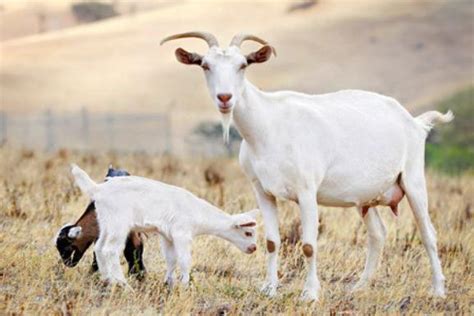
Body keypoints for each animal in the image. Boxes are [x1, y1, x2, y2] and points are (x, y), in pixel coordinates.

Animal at [69, 164, 260, 288]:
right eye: (248, 233)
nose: (253, 248)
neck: (198, 212)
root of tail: (98, 189)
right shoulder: (182, 234)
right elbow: (184, 260)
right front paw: (185, 285)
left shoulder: (167, 236)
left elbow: (171, 259)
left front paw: (169, 282)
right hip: (119, 225)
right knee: (110, 250)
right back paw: (122, 284)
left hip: (106, 222)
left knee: (99, 248)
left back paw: (107, 280)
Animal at [161, 32, 454, 302]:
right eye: (205, 65)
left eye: (243, 64)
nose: (225, 97)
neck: (268, 126)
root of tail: (416, 122)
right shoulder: (262, 191)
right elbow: (271, 242)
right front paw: (269, 289)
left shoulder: (306, 191)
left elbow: (309, 245)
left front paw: (310, 294)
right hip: (365, 198)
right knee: (378, 234)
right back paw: (359, 287)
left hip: (413, 179)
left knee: (428, 233)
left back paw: (438, 290)